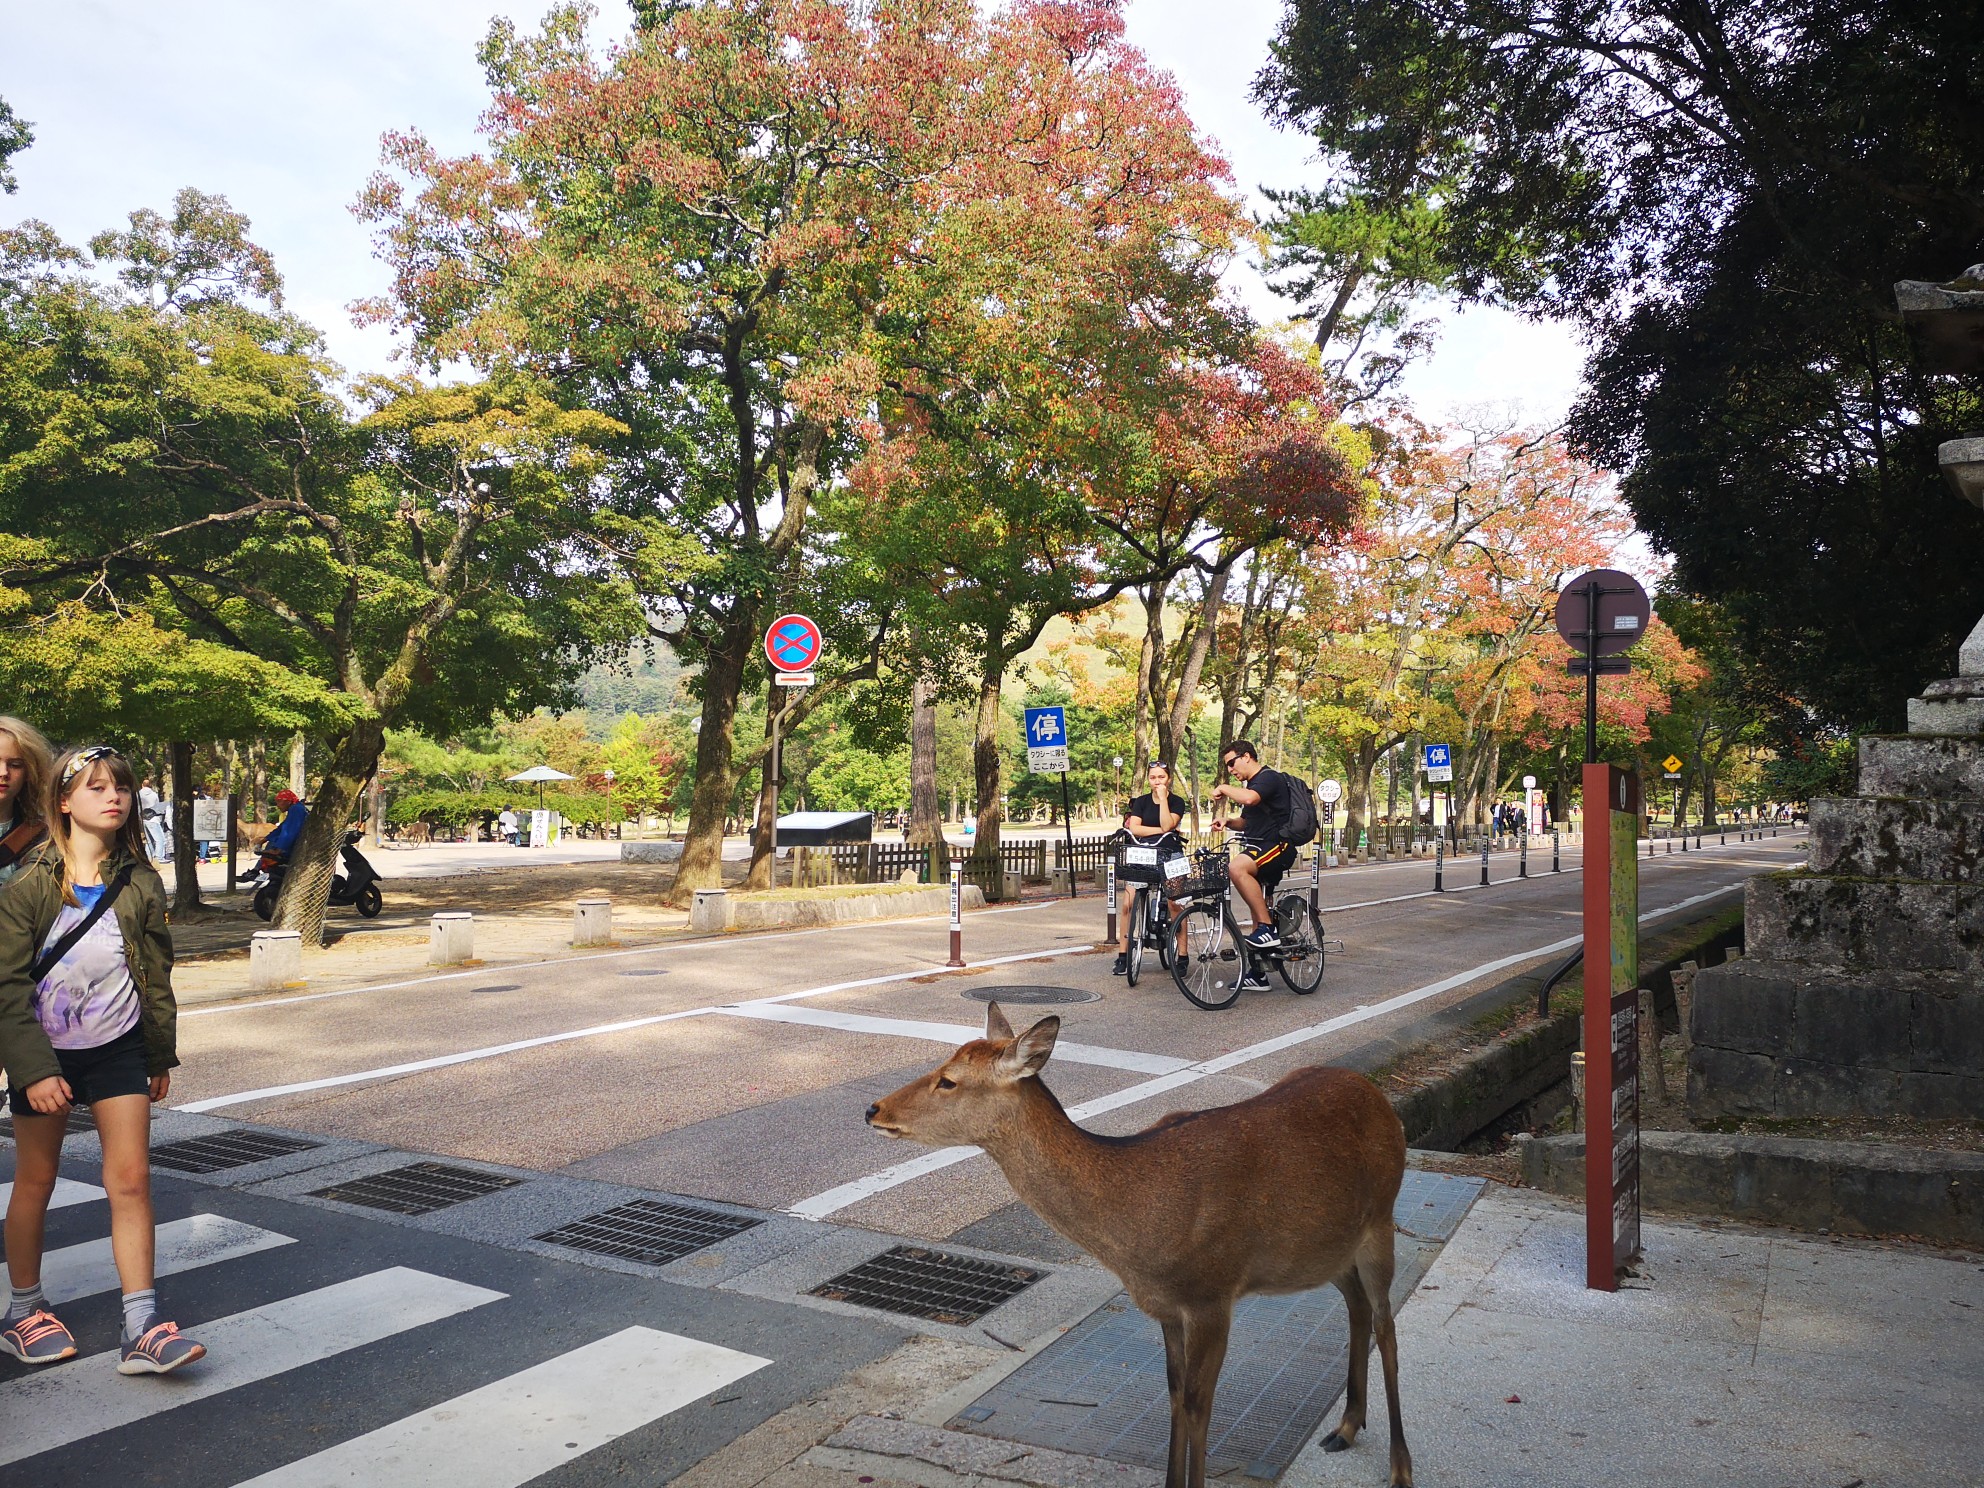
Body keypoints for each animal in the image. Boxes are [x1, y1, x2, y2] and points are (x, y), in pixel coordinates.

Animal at [868, 1003, 1412, 1488]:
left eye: (949, 1080)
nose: (873, 1108)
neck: (1139, 1237)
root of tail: (1379, 1096)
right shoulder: (1166, 1307)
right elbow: (1173, 1397)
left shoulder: (1213, 1295)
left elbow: (1198, 1405)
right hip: (1326, 1248)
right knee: (1357, 1307)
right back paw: (1345, 1427)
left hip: (1381, 1218)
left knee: (1386, 1324)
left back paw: (1399, 1466)